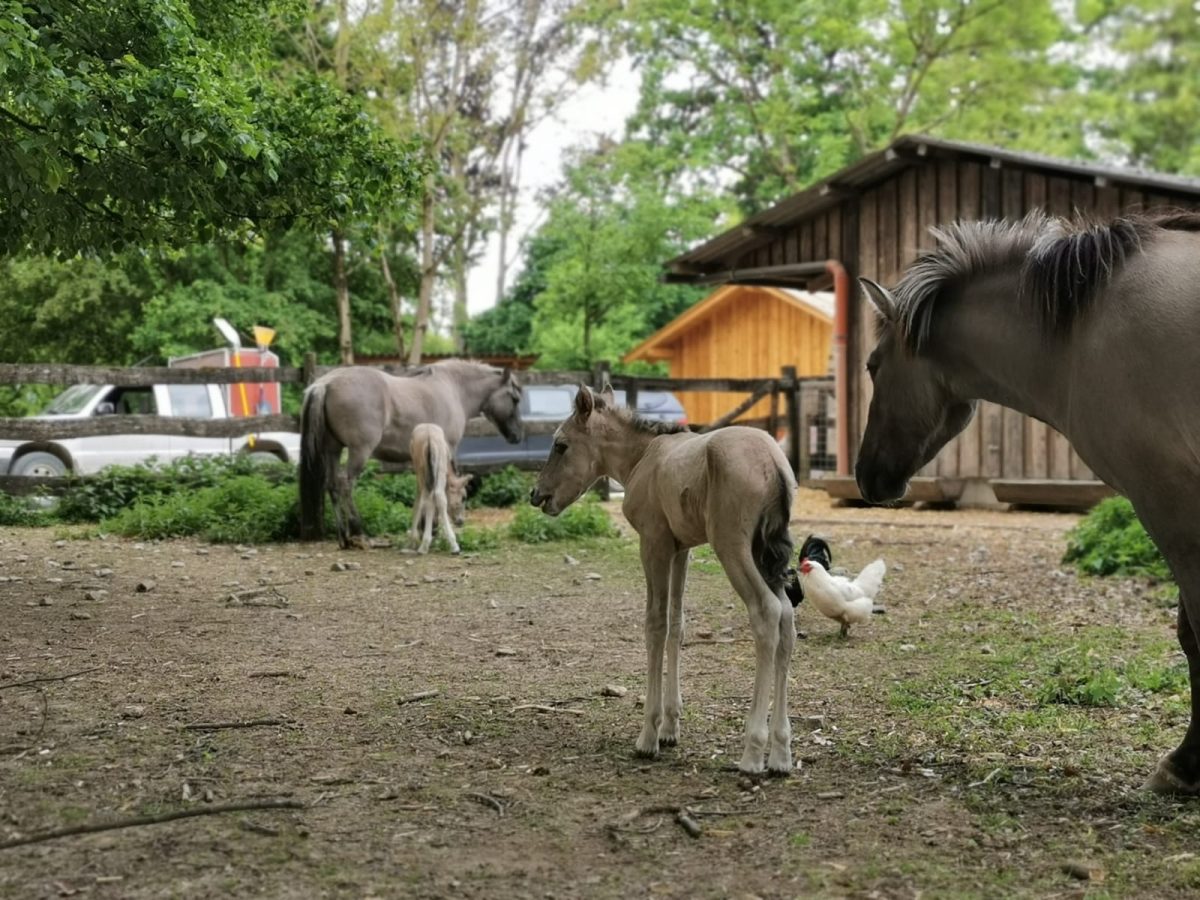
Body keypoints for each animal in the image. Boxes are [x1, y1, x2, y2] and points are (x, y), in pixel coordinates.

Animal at [408, 424, 472, 556]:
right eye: (464, 497)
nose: (461, 521)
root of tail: (429, 439)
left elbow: (419, 501)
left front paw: (415, 539)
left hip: (425, 471)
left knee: (431, 497)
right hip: (434, 468)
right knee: (436, 497)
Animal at [859, 206, 1200, 796]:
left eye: (873, 365)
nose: (863, 475)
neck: (1084, 327)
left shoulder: (1169, 500)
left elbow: (1198, 637)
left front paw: (1184, 765)